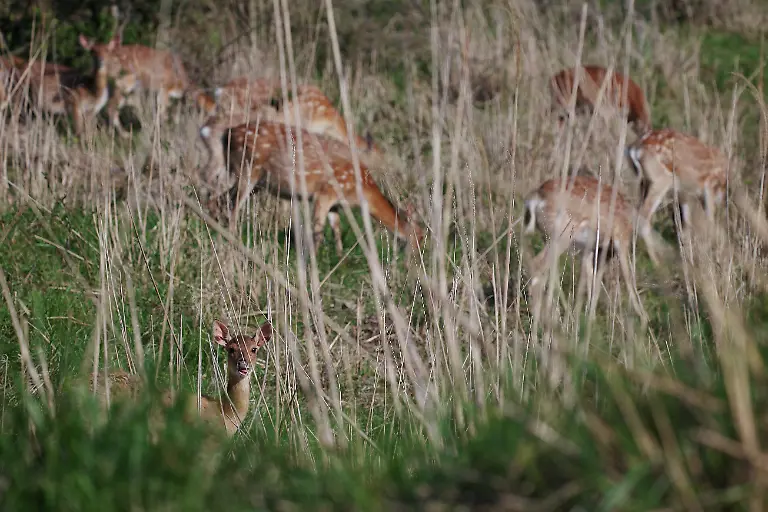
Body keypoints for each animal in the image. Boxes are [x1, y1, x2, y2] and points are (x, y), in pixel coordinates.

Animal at [199, 116, 423, 257]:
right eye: (418, 237)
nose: (416, 261)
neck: (358, 190)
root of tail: (226, 134)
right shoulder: (325, 193)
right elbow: (318, 230)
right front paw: (313, 257)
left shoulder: (335, 203)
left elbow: (336, 227)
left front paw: (340, 257)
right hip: (248, 169)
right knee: (231, 205)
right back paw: (232, 238)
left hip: (258, 181)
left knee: (219, 200)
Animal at [523, 175, 655, 322]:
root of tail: (536, 198)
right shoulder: (620, 238)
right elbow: (628, 276)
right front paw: (644, 318)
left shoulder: (592, 249)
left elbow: (591, 278)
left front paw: (589, 317)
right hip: (562, 235)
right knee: (538, 264)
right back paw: (540, 316)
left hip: (548, 237)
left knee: (547, 270)